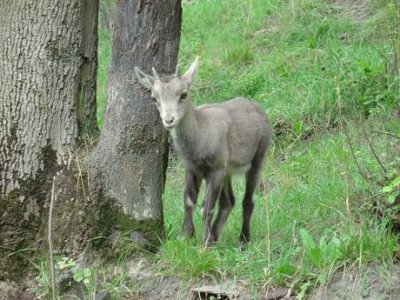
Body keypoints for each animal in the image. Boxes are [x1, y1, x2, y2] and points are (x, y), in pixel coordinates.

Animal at [135, 57, 272, 247]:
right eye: (154, 98)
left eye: (183, 94)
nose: (169, 119)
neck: (199, 138)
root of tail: (260, 110)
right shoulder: (193, 169)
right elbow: (188, 200)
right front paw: (185, 236)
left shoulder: (216, 169)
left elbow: (206, 208)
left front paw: (203, 244)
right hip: (228, 171)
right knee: (228, 202)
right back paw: (215, 237)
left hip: (258, 156)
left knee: (247, 200)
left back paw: (242, 240)